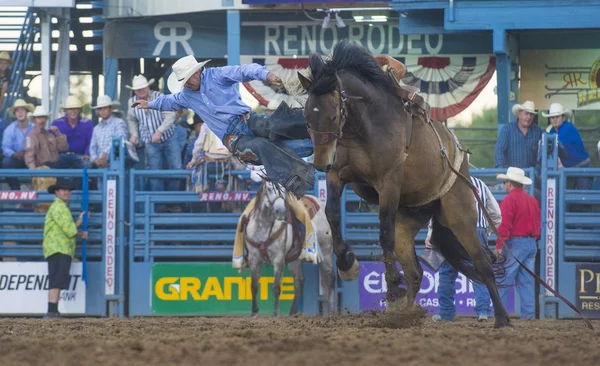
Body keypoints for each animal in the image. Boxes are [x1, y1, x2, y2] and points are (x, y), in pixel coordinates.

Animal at [244, 182, 338, 316]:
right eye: (269, 188)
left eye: (284, 189)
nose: (280, 211)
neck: (264, 227)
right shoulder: (254, 258)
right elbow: (254, 286)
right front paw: (254, 312)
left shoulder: (278, 259)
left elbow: (276, 288)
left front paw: (276, 313)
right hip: (295, 260)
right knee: (299, 281)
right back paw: (293, 311)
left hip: (326, 252)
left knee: (330, 278)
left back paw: (331, 311)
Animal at [296, 40, 510, 328]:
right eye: (307, 116)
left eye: (332, 116)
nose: (320, 163)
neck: (364, 126)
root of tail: (459, 156)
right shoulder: (336, 174)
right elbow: (332, 213)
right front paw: (347, 263)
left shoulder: (389, 182)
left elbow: (383, 232)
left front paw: (393, 289)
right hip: (408, 223)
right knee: (416, 271)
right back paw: (404, 315)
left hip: (461, 215)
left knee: (482, 263)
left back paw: (501, 318)